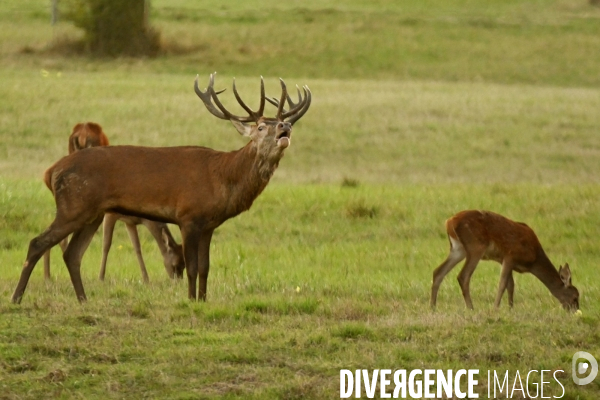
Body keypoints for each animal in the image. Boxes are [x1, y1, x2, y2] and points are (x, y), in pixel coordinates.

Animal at [11, 72, 312, 304]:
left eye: (280, 123)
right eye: (261, 126)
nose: (285, 126)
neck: (224, 177)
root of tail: (50, 172)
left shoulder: (209, 224)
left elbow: (206, 268)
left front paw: (203, 300)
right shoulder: (188, 216)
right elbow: (192, 268)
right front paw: (190, 300)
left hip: (92, 213)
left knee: (72, 254)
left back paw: (83, 300)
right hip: (73, 205)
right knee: (38, 242)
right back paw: (17, 298)